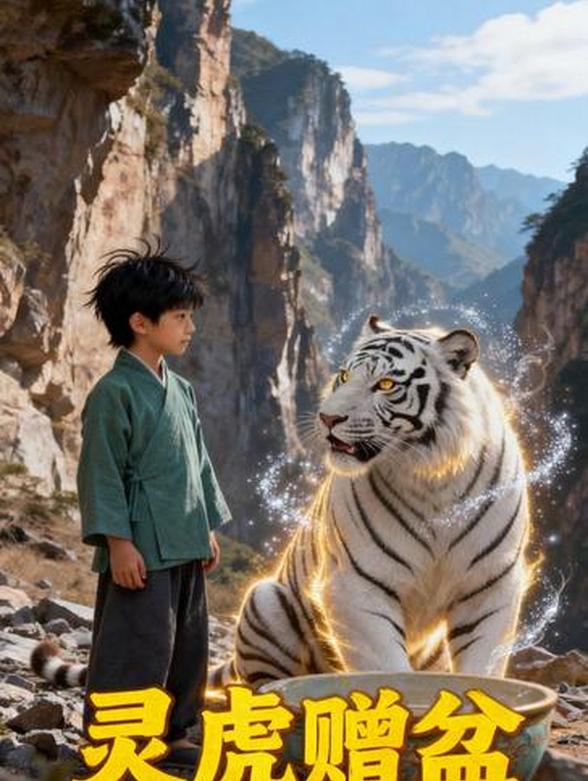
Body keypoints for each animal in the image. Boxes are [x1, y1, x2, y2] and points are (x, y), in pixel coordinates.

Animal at [209, 314, 530, 687]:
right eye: (344, 376)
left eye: (386, 384)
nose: (327, 418)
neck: (434, 476)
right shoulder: (357, 587)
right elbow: (387, 669)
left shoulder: (490, 586)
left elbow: (483, 667)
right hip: (265, 600)